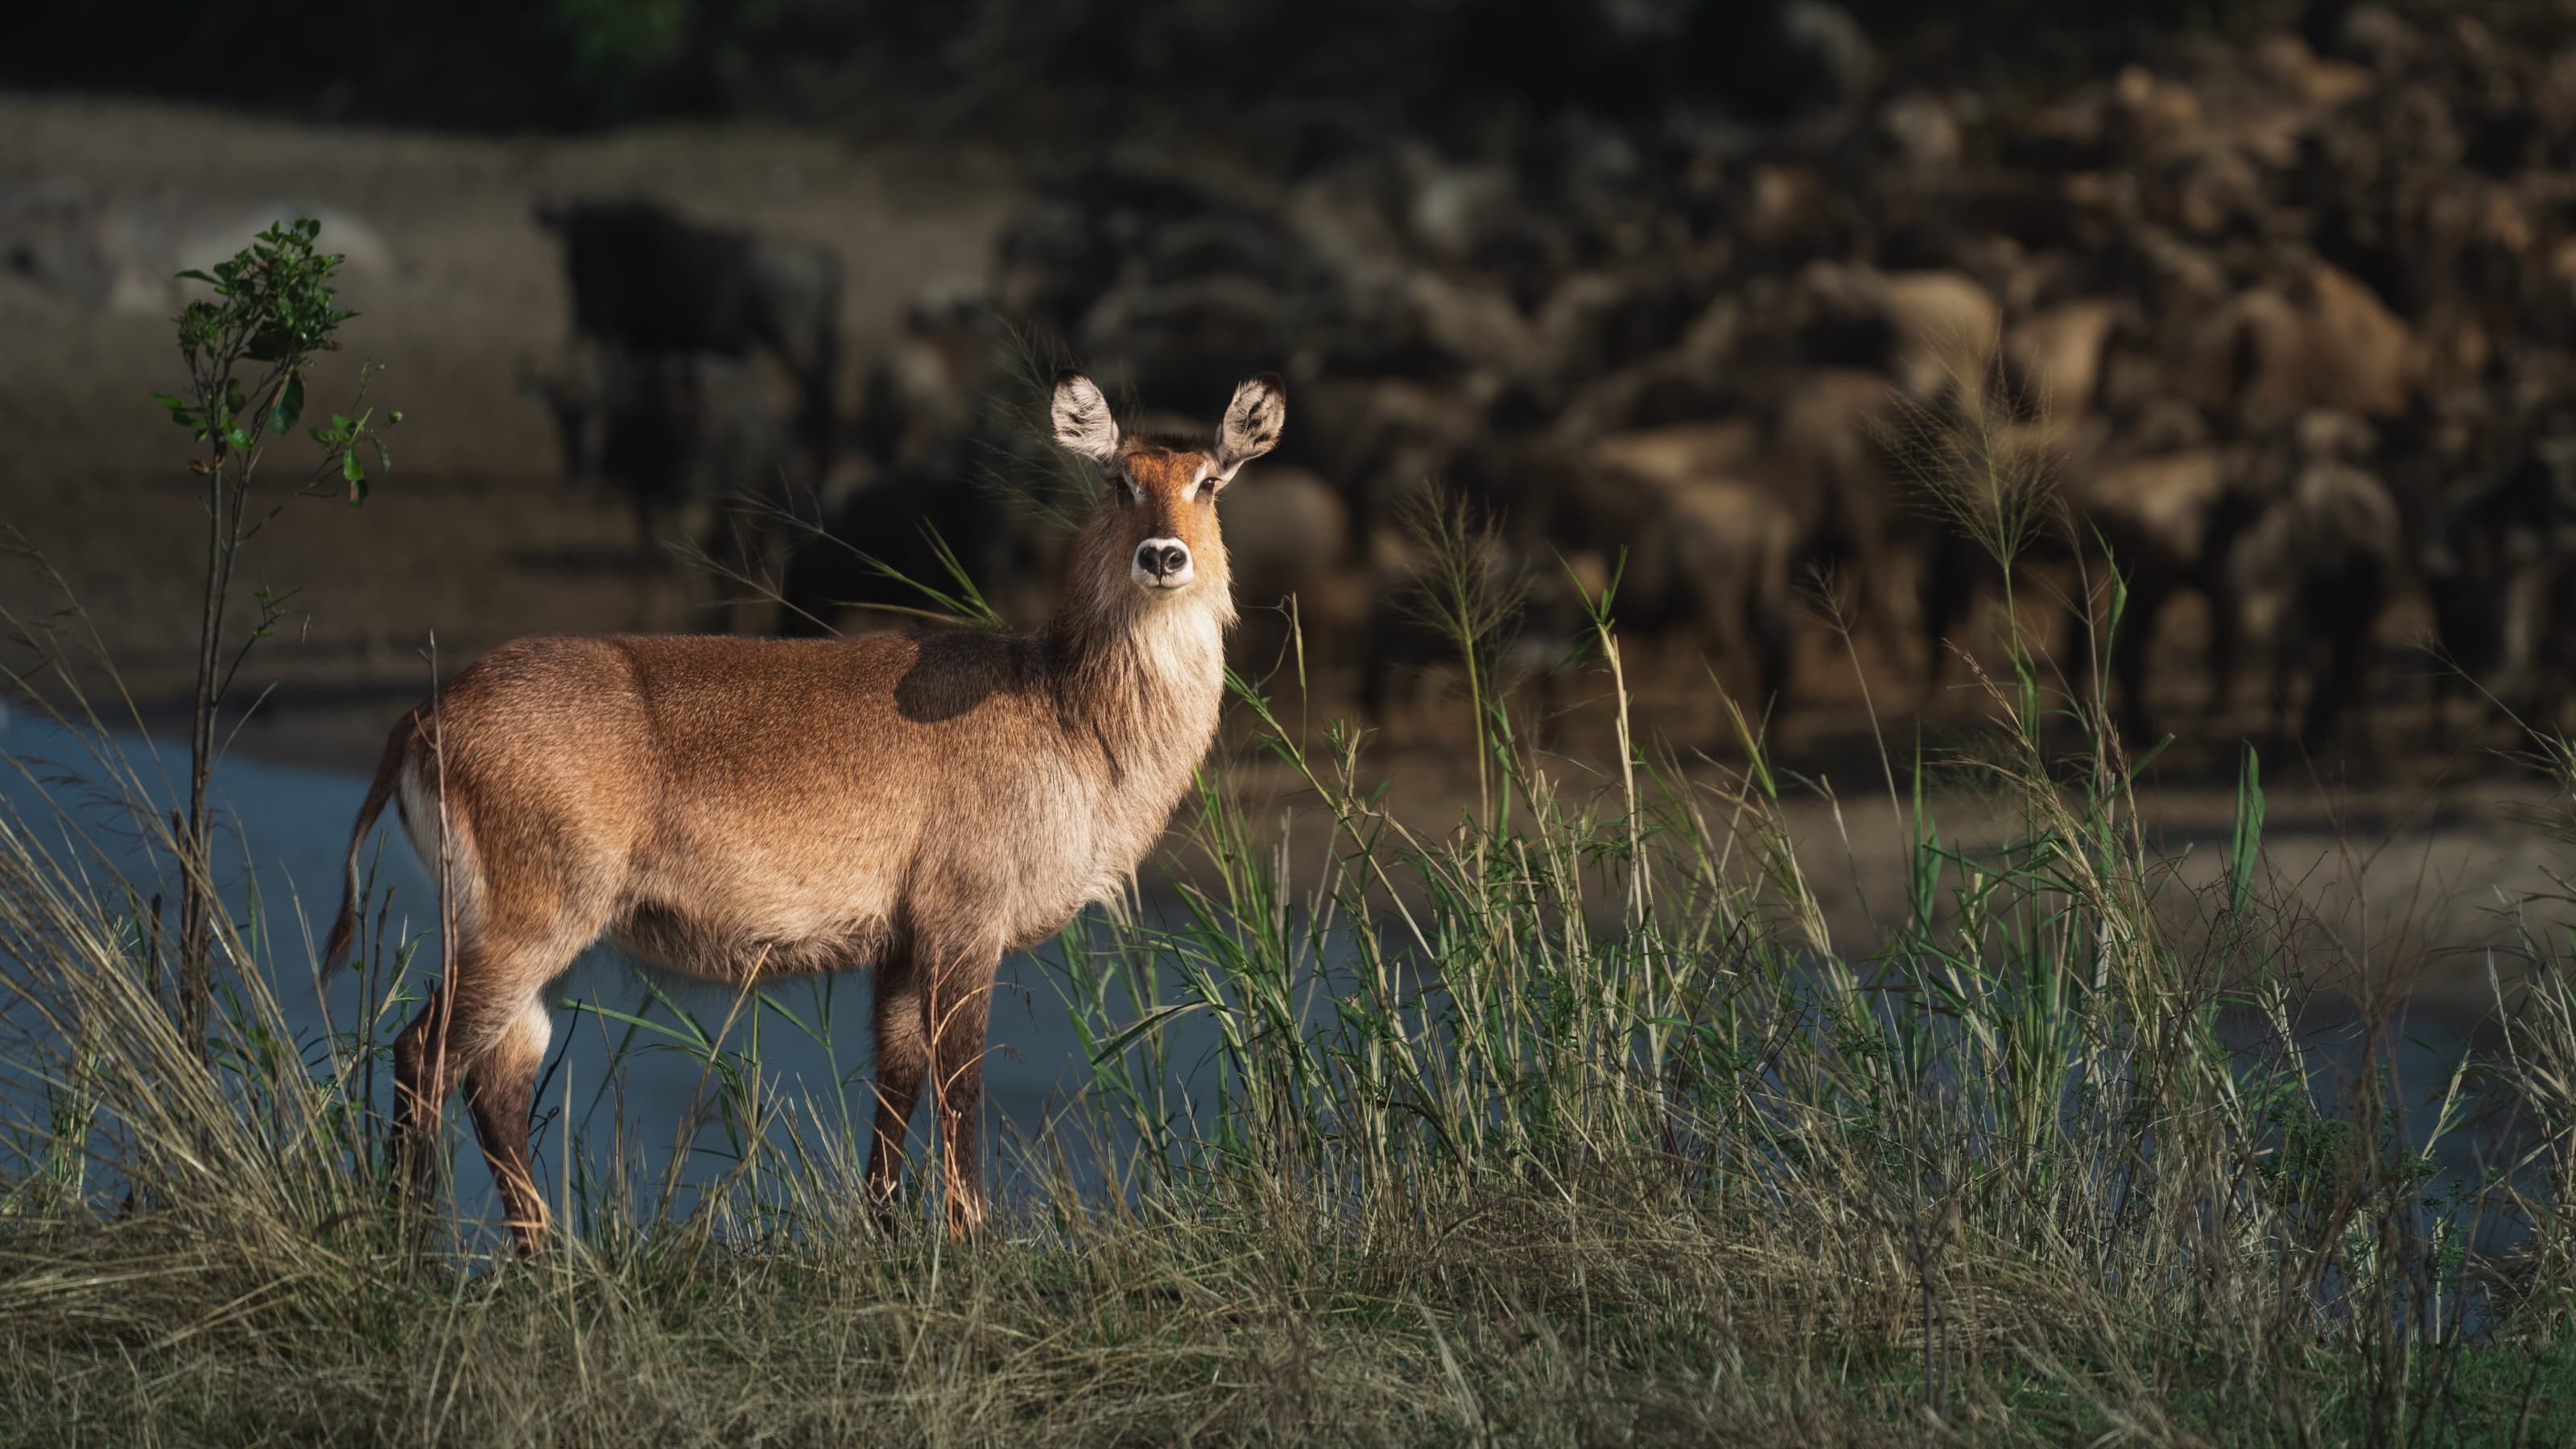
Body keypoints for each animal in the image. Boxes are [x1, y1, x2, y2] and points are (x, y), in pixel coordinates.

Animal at [323, 371, 1285, 1251]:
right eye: (1118, 479)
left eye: (1210, 480)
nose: (1163, 556)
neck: (1067, 710)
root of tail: (428, 714)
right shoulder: (965, 920)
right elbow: (961, 1079)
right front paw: (971, 1241)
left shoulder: (902, 943)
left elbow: (898, 1079)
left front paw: (887, 1237)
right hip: (529, 922)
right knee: (424, 1055)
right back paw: (416, 1254)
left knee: (498, 1079)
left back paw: (546, 1260)